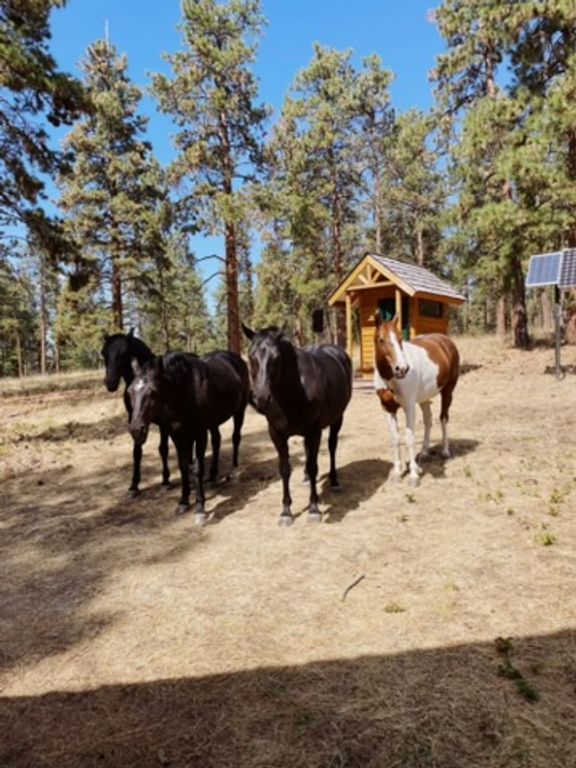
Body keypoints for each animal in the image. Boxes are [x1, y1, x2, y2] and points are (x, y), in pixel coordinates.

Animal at [101, 329, 171, 495]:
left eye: (124, 352)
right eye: (103, 353)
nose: (110, 383)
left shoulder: (164, 423)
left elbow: (163, 449)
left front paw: (166, 480)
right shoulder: (134, 422)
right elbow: (137, 452)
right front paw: (134, 485)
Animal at [127, 350, 250, 524]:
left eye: (153, 392)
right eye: (130, 391)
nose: (136, 430)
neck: (185, 391)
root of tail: (235, 358)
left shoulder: (199, 433)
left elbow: (197, 467)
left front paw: (200, 508)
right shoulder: (177, 434)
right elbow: (184, 465)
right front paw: (184, 501)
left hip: (239, 411)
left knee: (235, 438)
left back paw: (234, 471)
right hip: (213, 423)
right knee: (217, 441)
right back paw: (212, 478)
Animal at [242, 324, 352, 526]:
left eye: (276, 357)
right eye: (251, 356)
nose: (261, 398)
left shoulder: (314, 431)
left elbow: (314, 466)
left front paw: (314, 509)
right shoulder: (276, 434)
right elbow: (285, 469)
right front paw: (286, 512)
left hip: (337, 419)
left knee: (332, 446)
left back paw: (334, 481)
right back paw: (306, 478)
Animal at [373, 314, 460, 486]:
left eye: (400, 338)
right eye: (381, 339)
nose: (402, 368)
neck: (390, 379)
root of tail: (445, 341)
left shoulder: (409, 407)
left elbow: (409, 438)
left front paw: (413, 475)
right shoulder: (387, 408)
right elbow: (395, 438)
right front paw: (398, 472)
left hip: (447, 392)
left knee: (443, 418)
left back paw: (445, 450)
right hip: (424, 399)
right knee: (428, 420)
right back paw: (424, 452)